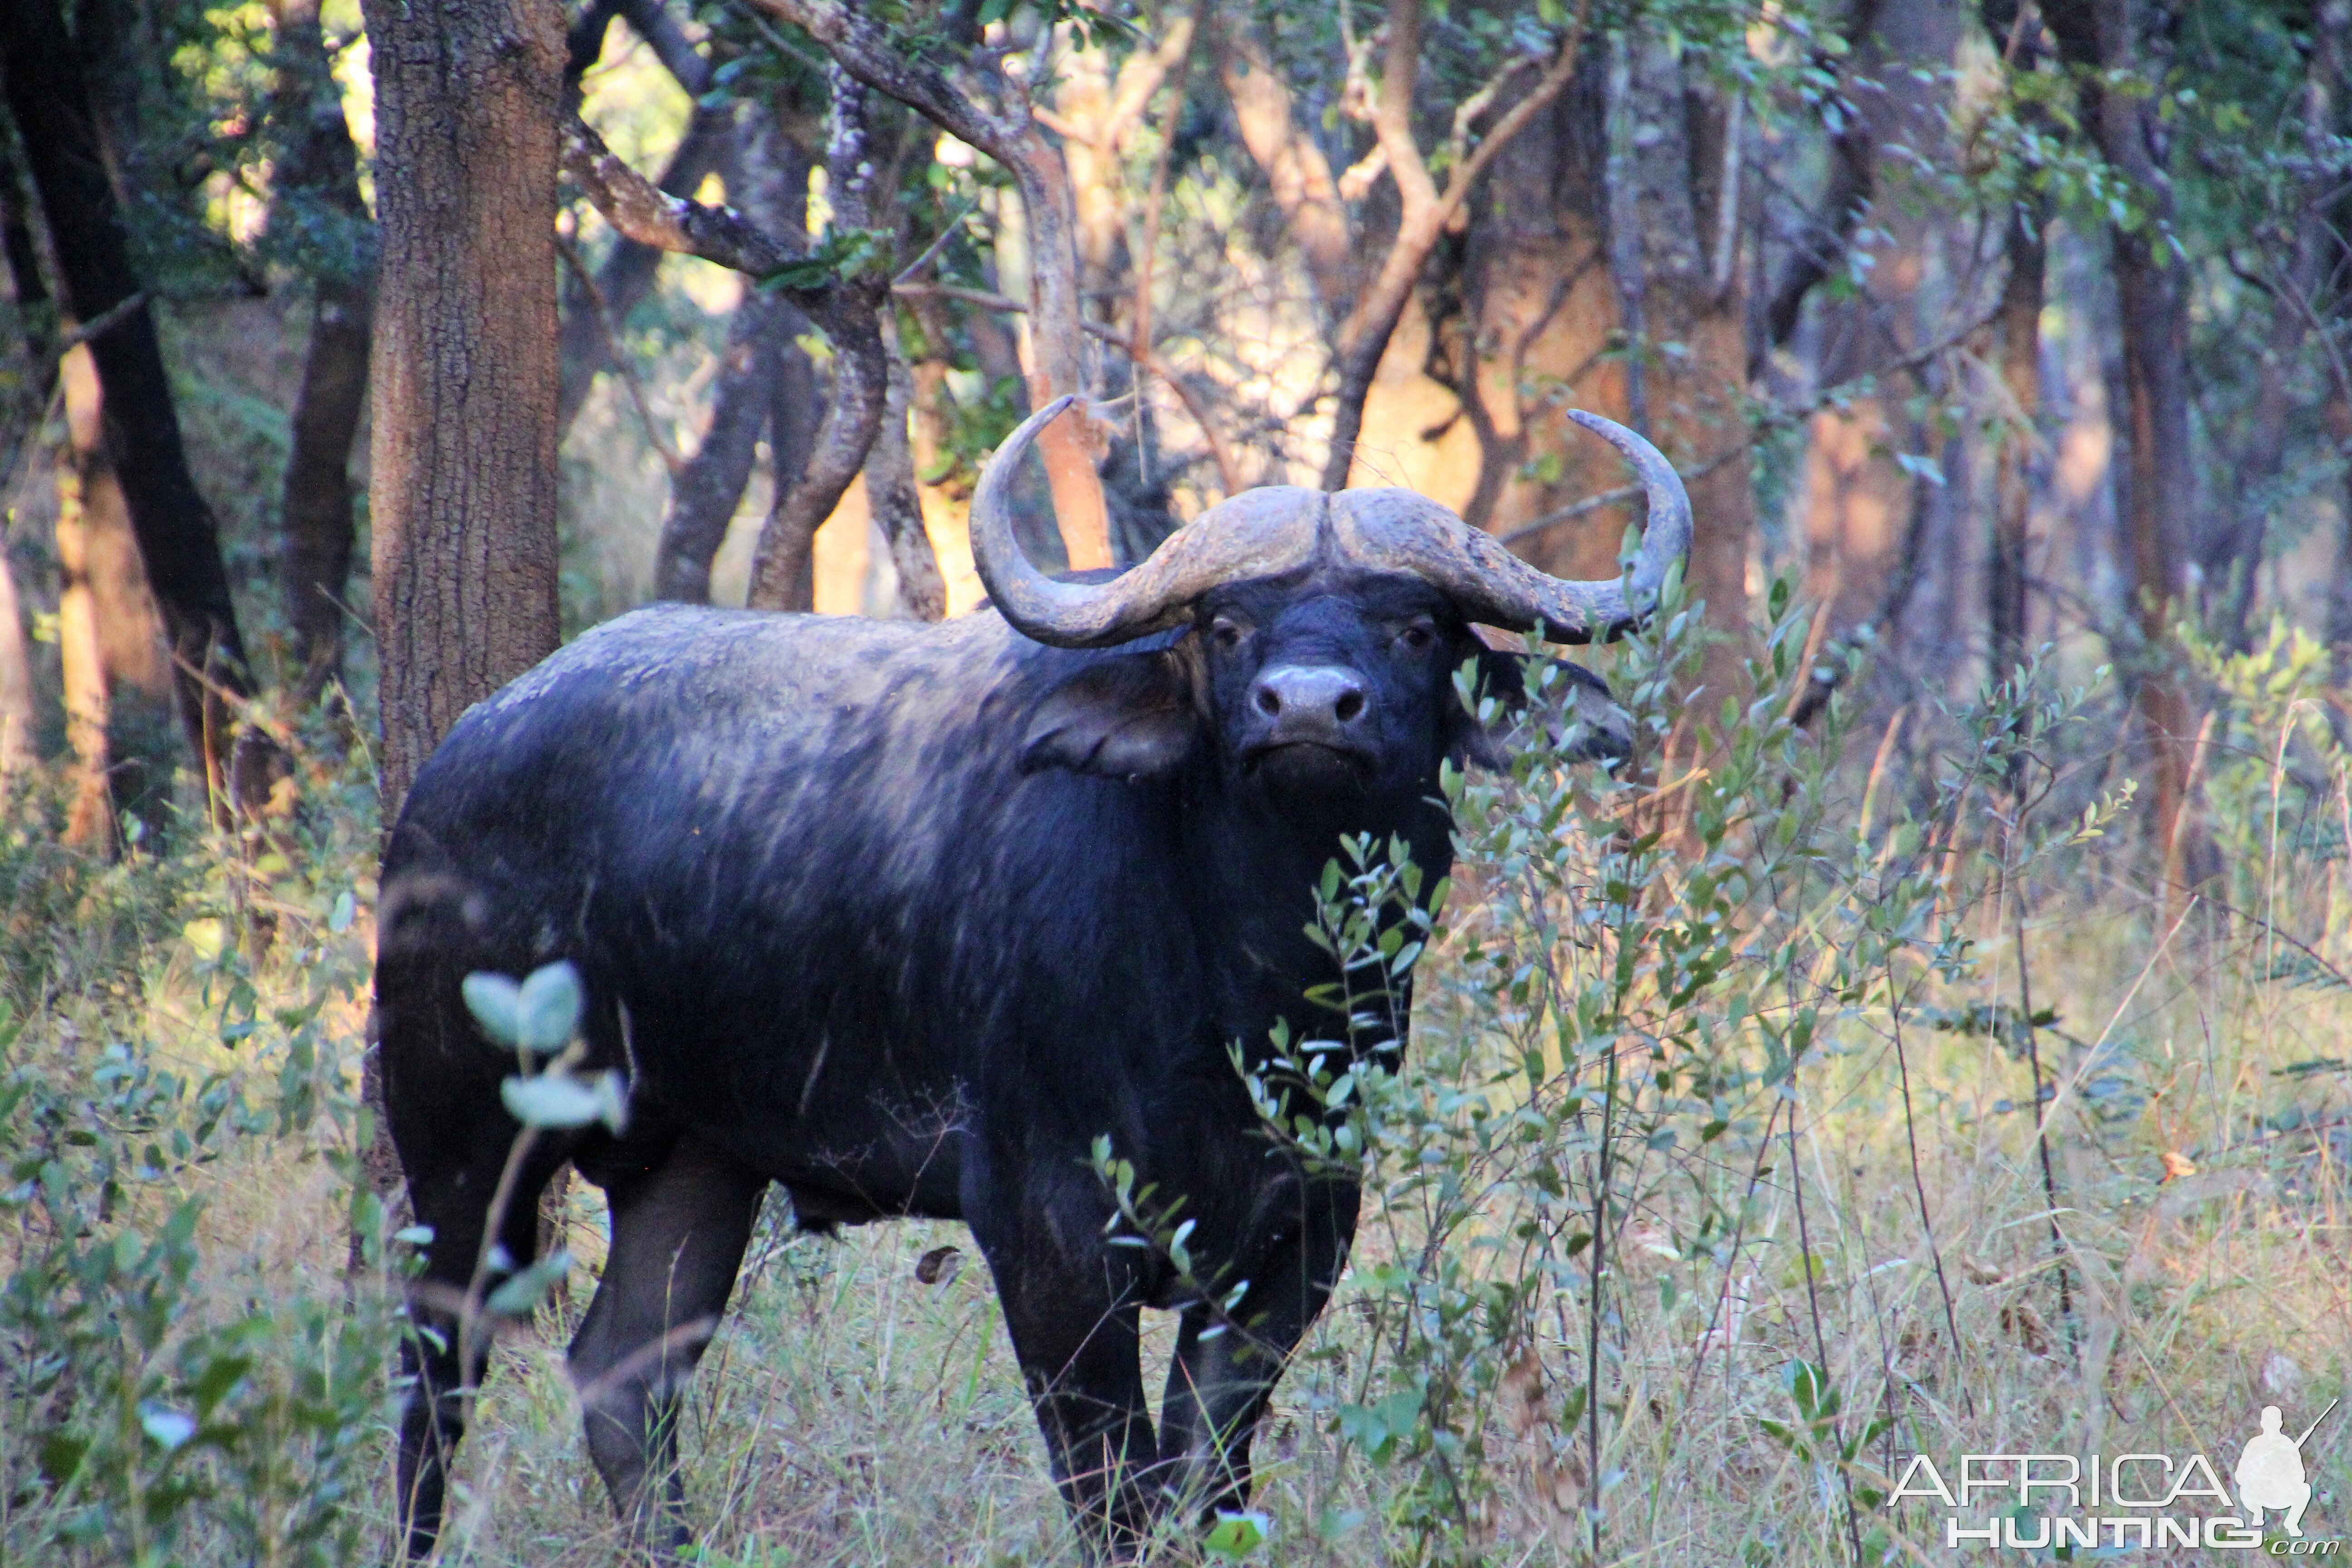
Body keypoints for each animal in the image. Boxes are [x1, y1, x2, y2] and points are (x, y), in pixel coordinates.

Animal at [376, 402, 1684, 1561]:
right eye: (1226, 626)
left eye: (1417, 626)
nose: (1308, 706)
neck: (1238, 989)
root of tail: (457, 759)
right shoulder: (1049, 1240)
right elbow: (1116, 1492)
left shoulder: (1296, 1238)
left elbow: (1208, 1482)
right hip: (462, 1143)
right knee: (436, 1376)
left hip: (698, 1163)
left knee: (623, 1382)